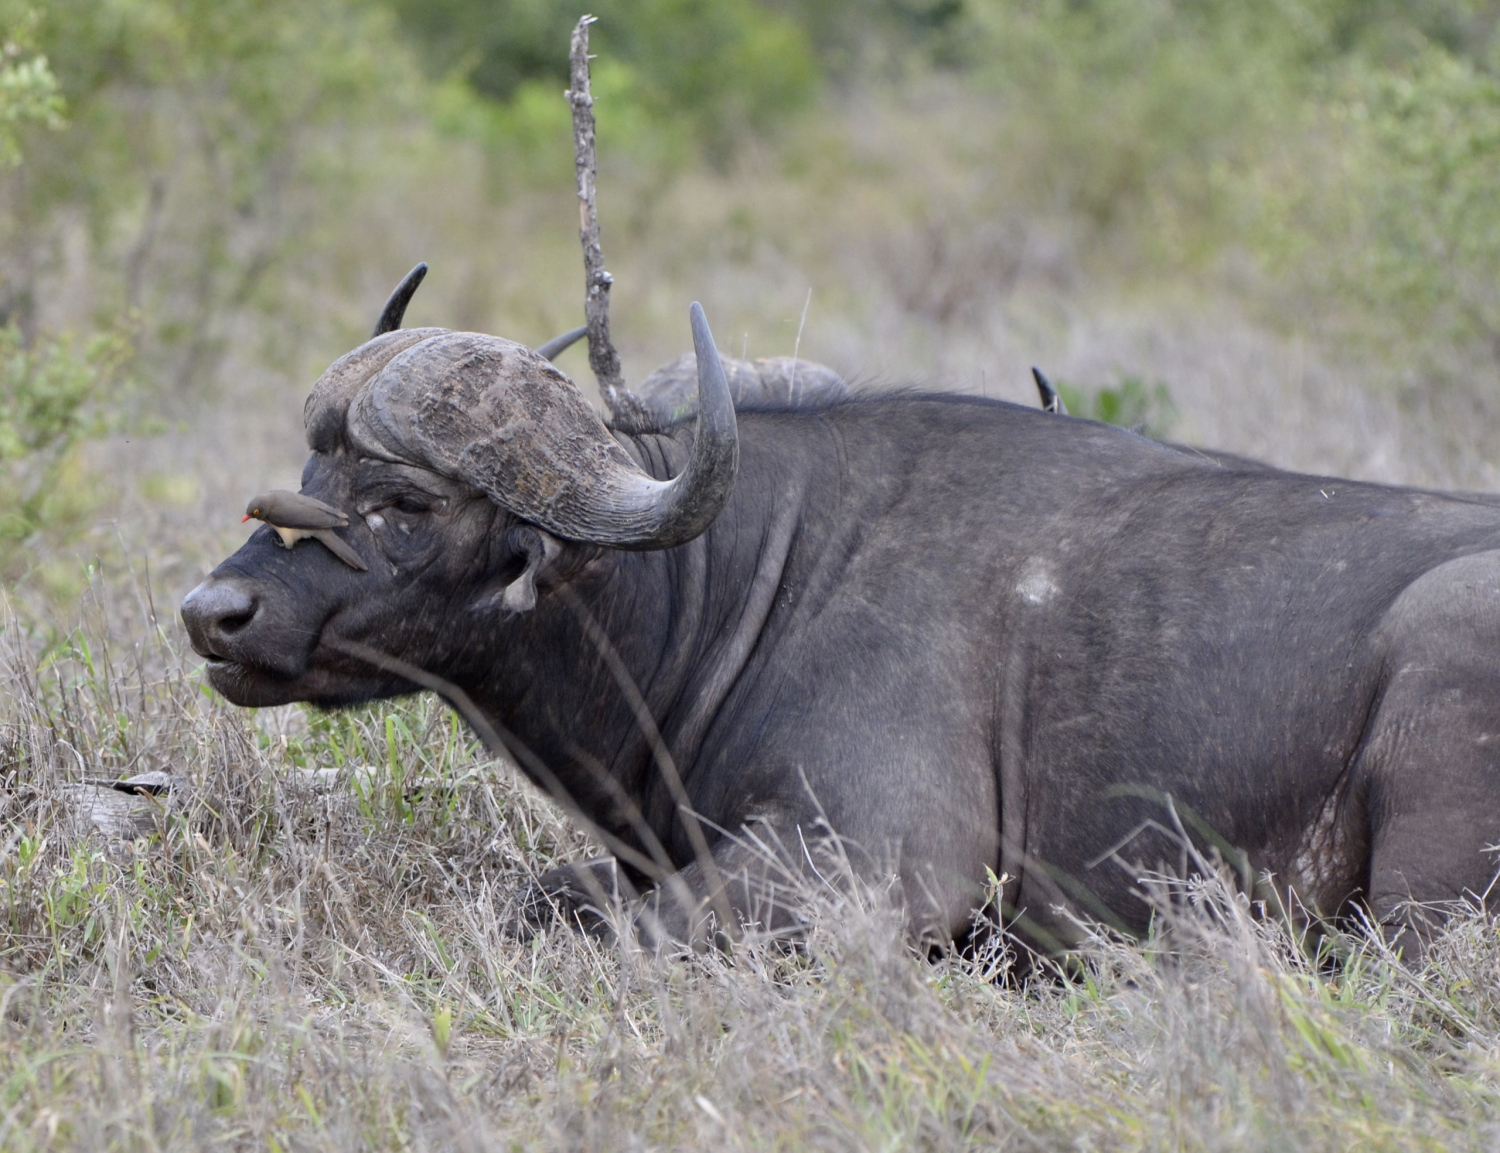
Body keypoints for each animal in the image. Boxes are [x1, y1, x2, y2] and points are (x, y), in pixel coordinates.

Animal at [181, 272, 1500, 960]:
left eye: (405, 501)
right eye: (311, 464)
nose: (215, 611)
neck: (753, 588)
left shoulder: (878, 861)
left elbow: (627, 927)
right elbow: (548, 897)